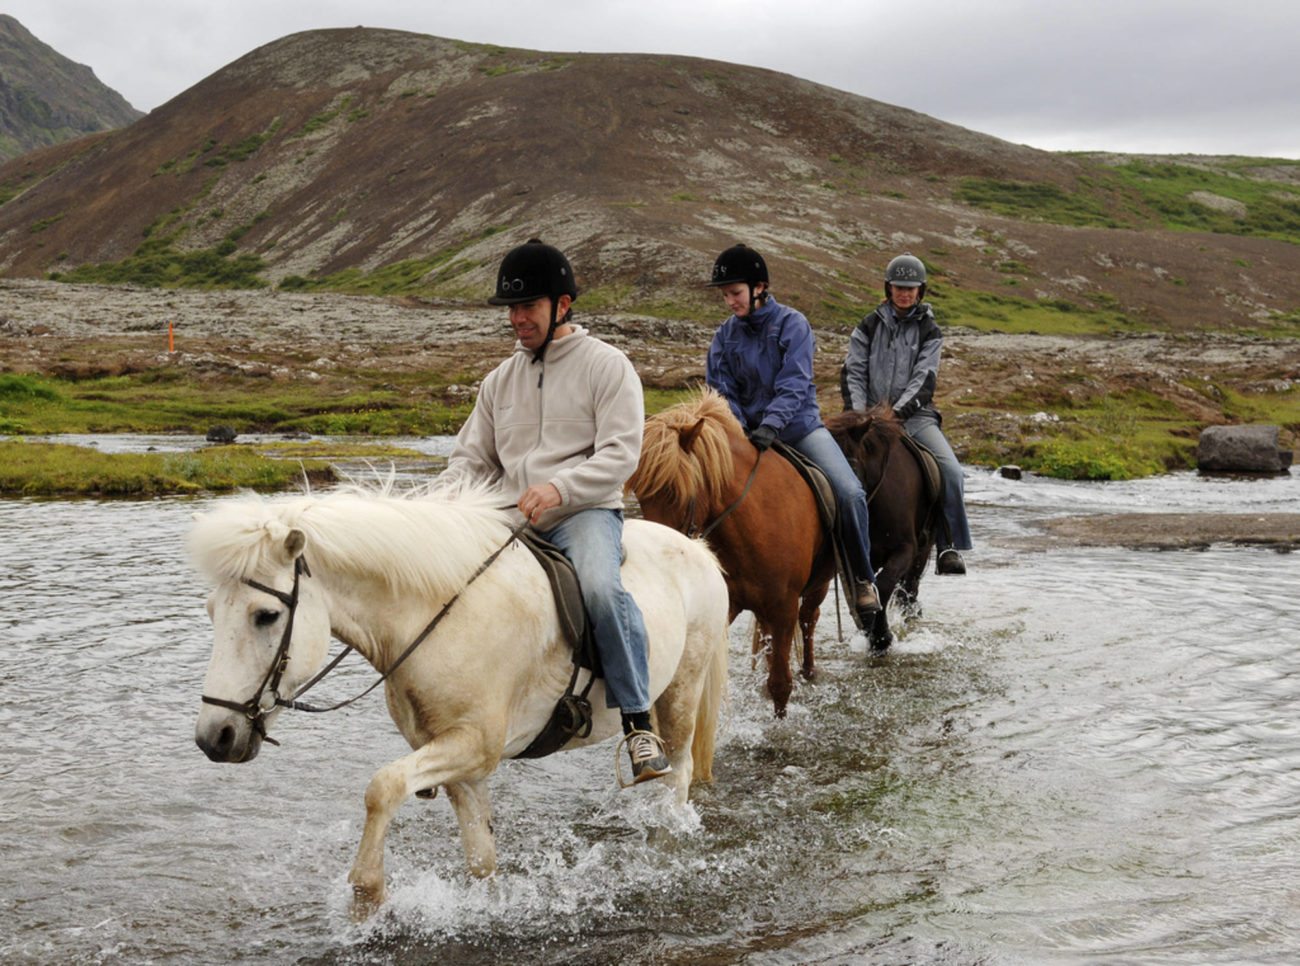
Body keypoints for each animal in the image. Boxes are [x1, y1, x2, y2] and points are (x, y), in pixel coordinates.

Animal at [189, 484, 729, 916]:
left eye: (265, 615)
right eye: (212, 610)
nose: (215, 737)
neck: (442, 615)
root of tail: (698, 550)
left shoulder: (474, 745)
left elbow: (382, 787)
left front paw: (367, 895)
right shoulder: (460, 764)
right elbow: (480, 858)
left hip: (681, 693)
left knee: (676, 777)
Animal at [627, 388, 835, 718]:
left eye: (675, 492)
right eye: (642, 496)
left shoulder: (784, 607)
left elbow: (780, 683)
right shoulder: (728, 605)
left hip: (818, 586)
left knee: (809, 618)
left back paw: (809, 671)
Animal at [825, 404, 941, 650]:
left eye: (851, 467)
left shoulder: (905, 549)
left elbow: (884, 585)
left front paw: (881, 637)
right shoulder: (854, 557)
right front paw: (871, 632)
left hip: (922, 551)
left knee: (909, 589)